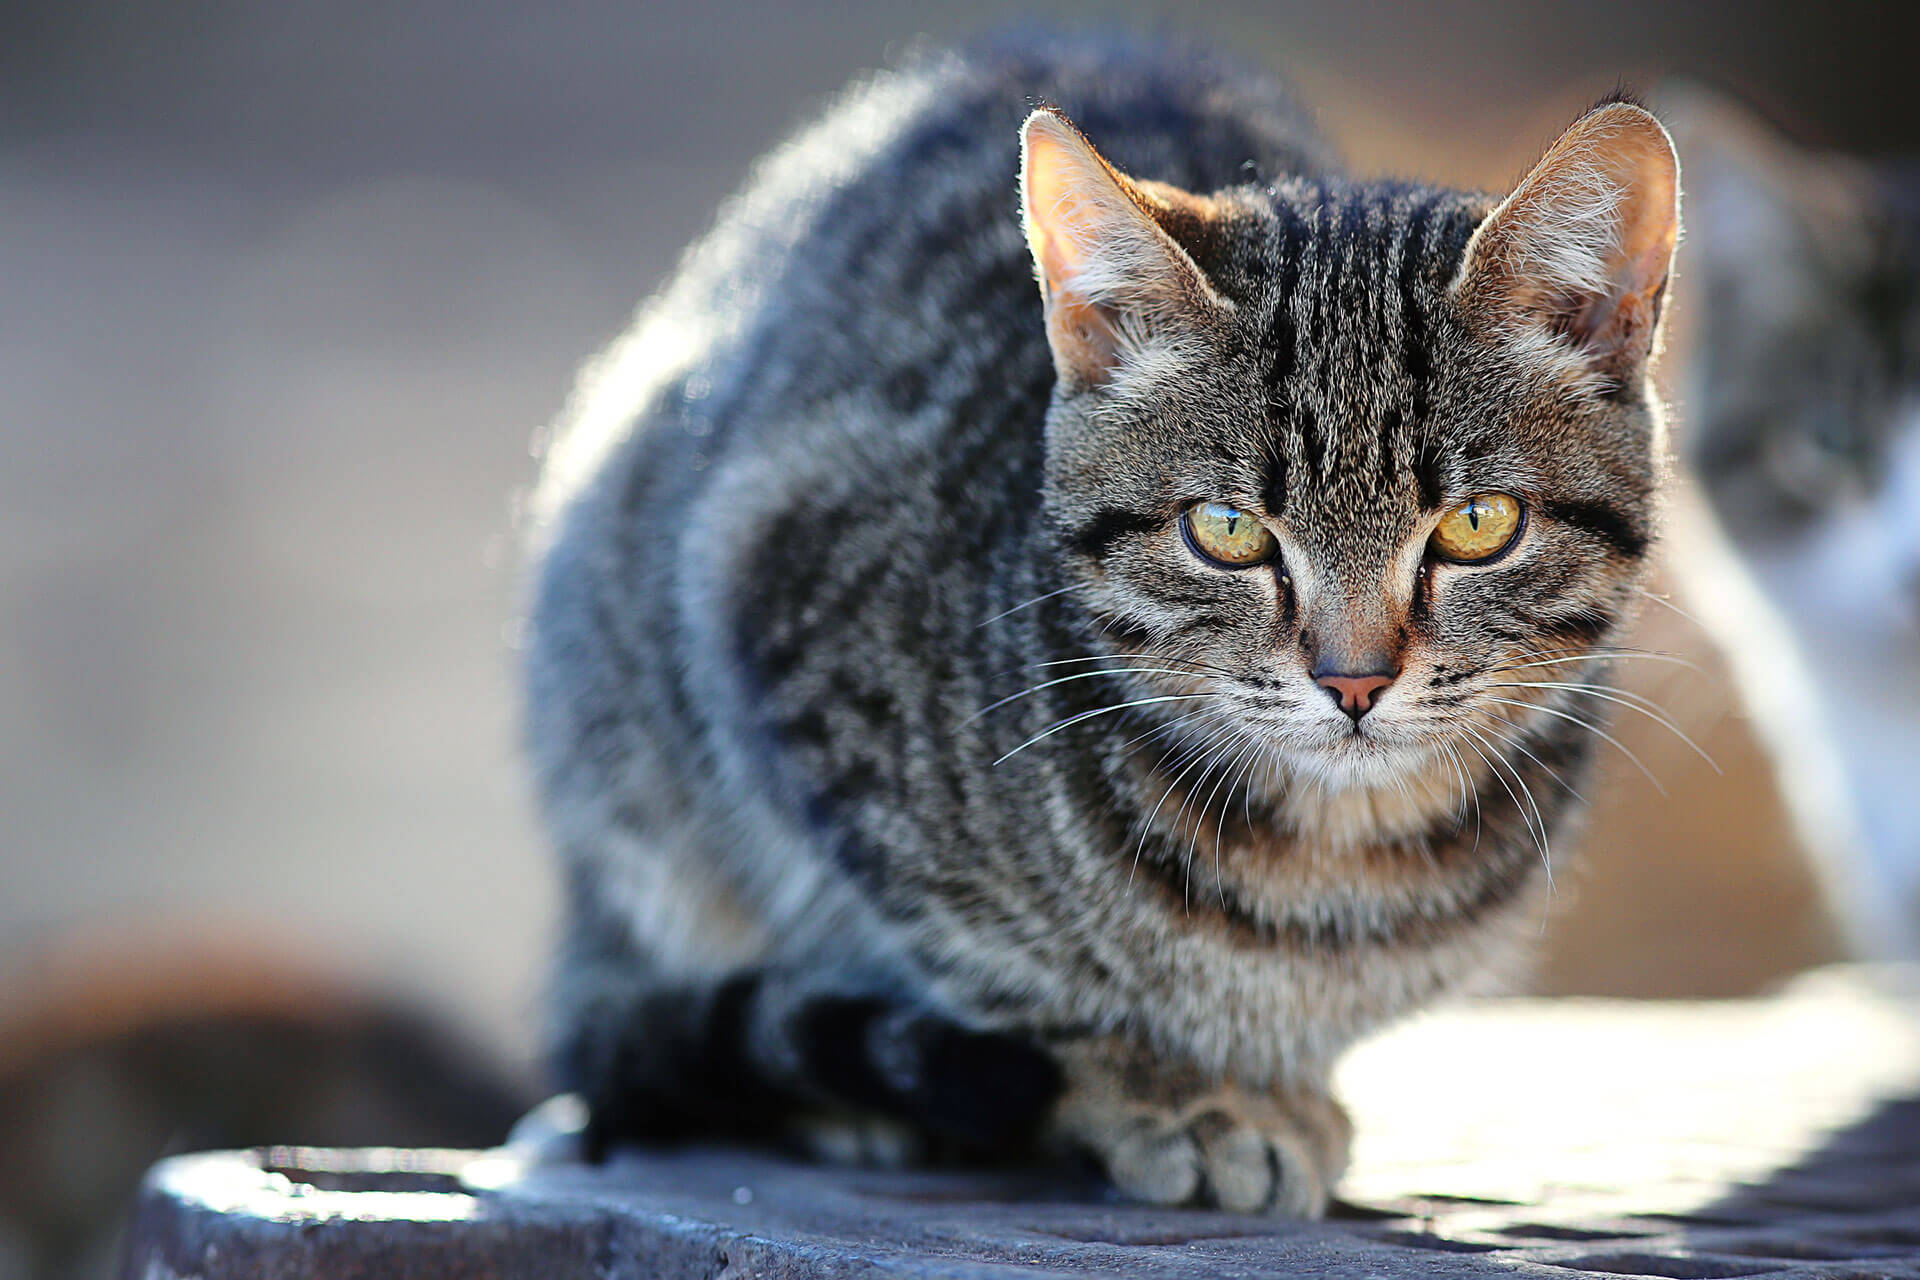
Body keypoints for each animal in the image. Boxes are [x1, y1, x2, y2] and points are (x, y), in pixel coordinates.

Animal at [529, 37, 1681, 1220]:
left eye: (1477, 525)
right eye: (1227, 530)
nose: (1353, 680)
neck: (1328, 868)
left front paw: (1275, 1086)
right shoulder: (769, 574)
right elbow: (1009, 981)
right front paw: (1172, 1091)